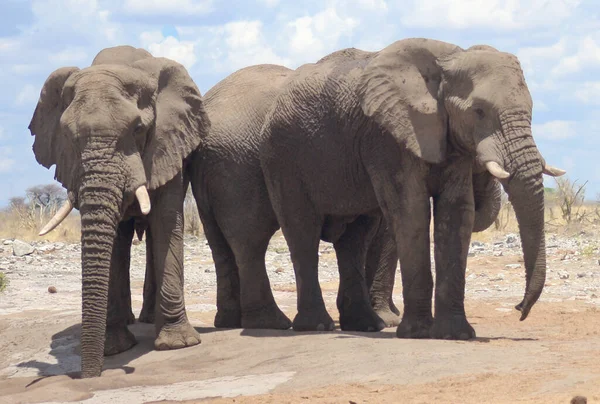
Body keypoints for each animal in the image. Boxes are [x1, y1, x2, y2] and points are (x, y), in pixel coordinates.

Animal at [29, 45, 211, 378]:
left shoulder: (166, 143)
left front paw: (177, 344)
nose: (88, 376)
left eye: (138, 129)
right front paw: (114, 349)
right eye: (67, 136)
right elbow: (111, 238)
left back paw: (149, 320)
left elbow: (166, 222)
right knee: (124, 238)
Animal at [255, 39, 564, 340]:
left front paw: (455, 334)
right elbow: (411, 210)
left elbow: (457, 212)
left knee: (355, 238)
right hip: (281, 156)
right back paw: (317, 326)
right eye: (478, 111)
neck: (448, 59)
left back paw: (365, 325)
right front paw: (418, 333)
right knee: (302, 231)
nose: (519, 309)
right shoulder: (389, 136)